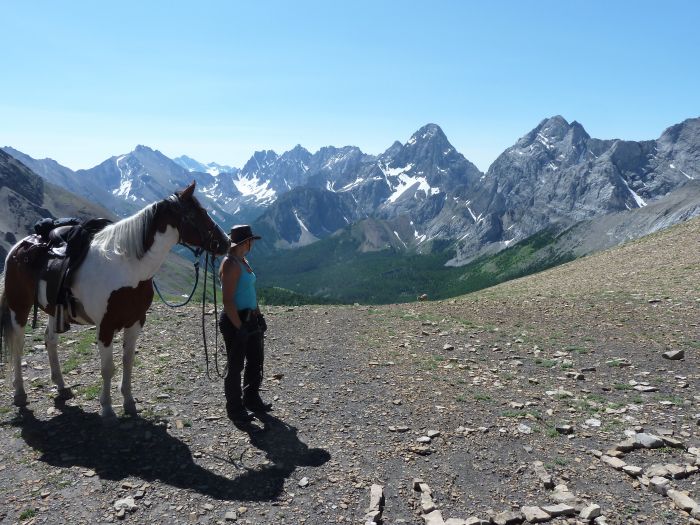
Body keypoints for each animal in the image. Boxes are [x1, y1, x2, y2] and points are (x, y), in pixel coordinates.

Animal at [0, 182, 230, 420]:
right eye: (198, 213)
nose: (226, 242)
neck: (127, 267)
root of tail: (18, 247)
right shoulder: (106, 327)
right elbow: (107, 368)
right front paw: (107, 408)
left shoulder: (136, 322)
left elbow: (128, 362)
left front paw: (129, 402)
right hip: (20, 307)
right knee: (18, 345)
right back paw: (20, 393)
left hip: (54, 311)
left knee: (50, 340)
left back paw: (62, 387)